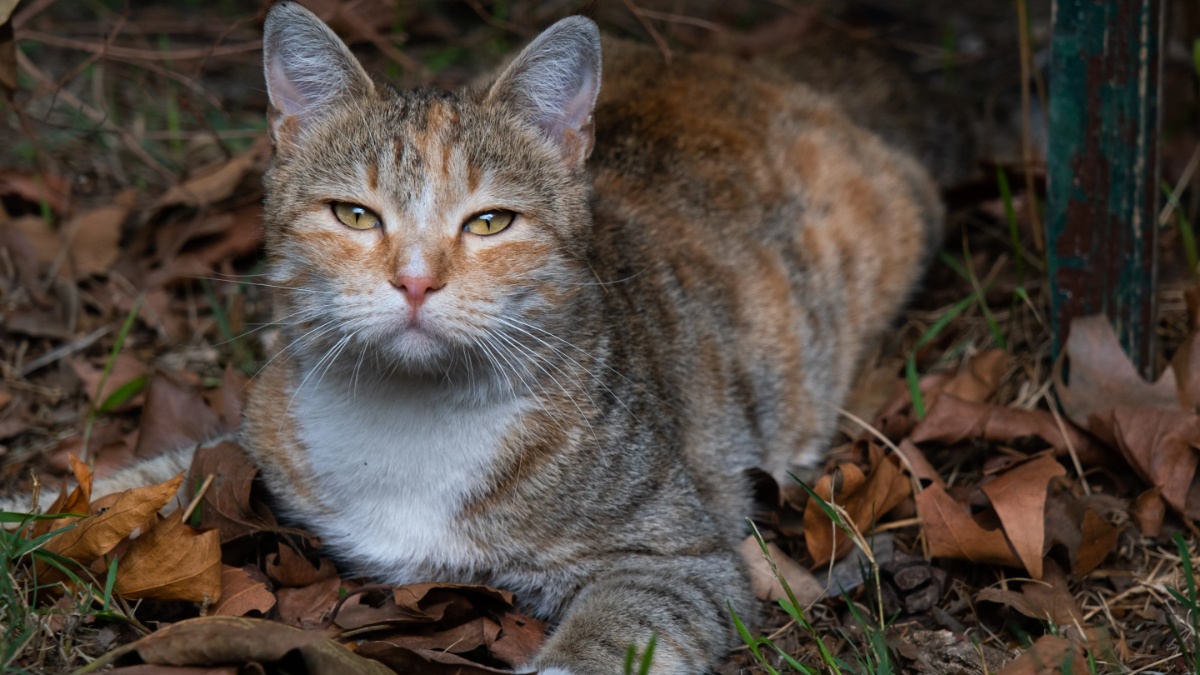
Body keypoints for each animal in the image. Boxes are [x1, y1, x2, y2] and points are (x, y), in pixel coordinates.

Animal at [7, 2, 945, 667]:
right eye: (355, 214)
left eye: (491, 221)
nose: (417, 279)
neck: (413, 418)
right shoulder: (255, 443)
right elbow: (151, 475)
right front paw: (34, 511)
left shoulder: (680, 551)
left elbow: (616, 634)